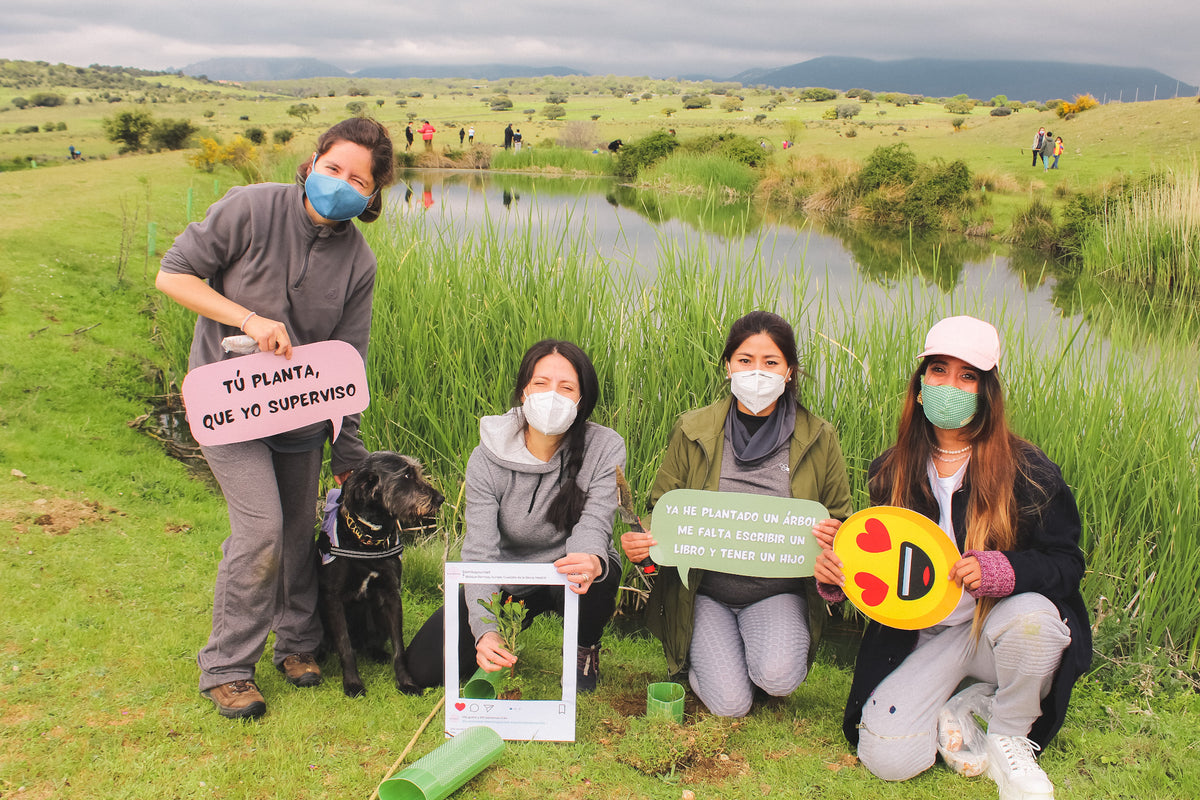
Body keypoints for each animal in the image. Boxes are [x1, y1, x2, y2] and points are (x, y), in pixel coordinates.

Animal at [316, 453, 444, 695]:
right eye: (406, 475)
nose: (440, 498)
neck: (368, 542)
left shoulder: (392, 595)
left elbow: (399, 648)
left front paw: (406, 682)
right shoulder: (334, 599)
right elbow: (345, 647)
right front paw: (353, 683)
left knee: (370, 644)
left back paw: (378, 653)